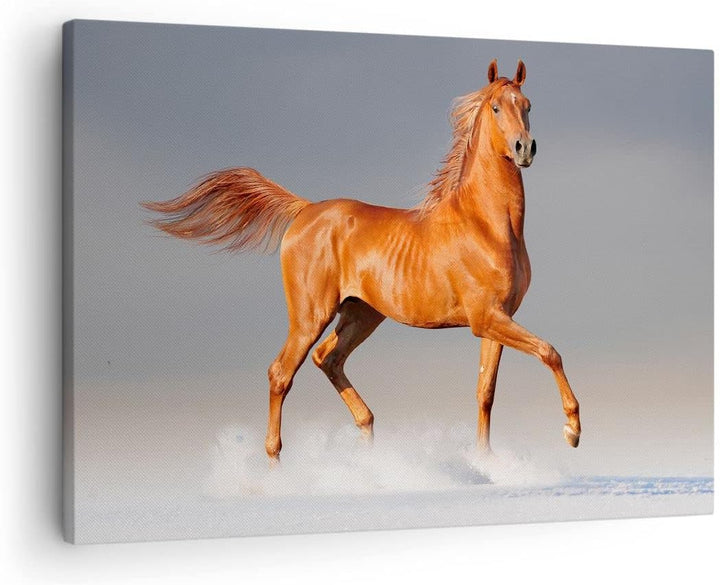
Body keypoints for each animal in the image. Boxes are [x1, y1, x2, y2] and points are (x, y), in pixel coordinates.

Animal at [142, 59, 581, 461]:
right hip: (311, 315)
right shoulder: (485, 318)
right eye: (495, 108)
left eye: (527, 104)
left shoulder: (497, 318)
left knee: (328, 358)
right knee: (281, 373)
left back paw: (367, 440)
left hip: (361, 313)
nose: (525, 148)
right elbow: (550, 351)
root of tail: (305, 210)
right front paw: (572, 430)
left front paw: (485, 460)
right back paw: (277, 462)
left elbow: (485, 391)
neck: (486, 224)